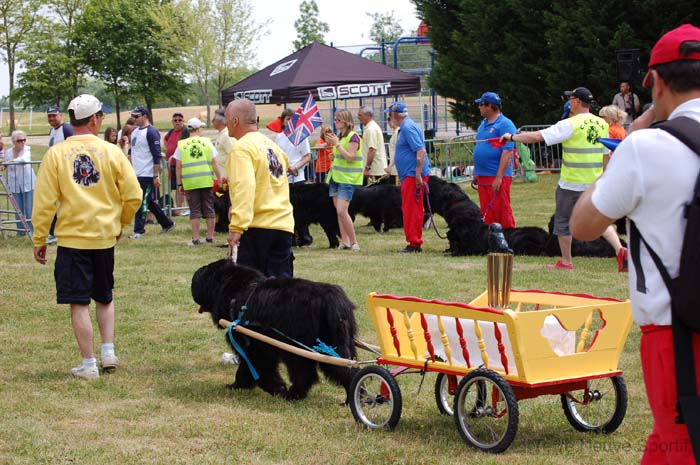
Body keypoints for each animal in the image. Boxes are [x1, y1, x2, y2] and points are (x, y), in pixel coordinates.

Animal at [191, 260, 358, 400]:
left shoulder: (252, 344)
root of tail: (333, 300)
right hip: (336, 344)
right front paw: (238, 386)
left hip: (300, 347)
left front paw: (277, 388)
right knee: (347, 368)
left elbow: (260, 368)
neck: (237, 293)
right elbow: (246, 368)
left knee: (304, 373)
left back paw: (293, 395)